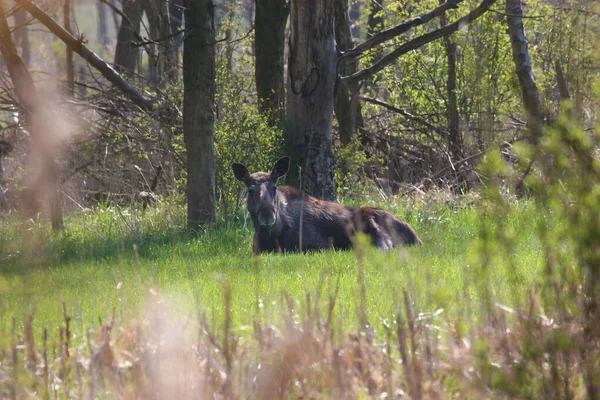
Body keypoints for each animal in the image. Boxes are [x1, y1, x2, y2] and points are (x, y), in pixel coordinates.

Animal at [231, 157, 422, 255]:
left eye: (274, 187)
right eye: (250, 190)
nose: (267, 217)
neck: (270, 236)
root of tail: (416, 236)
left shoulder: (320, 246)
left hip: (371, 221)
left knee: (384, 247)